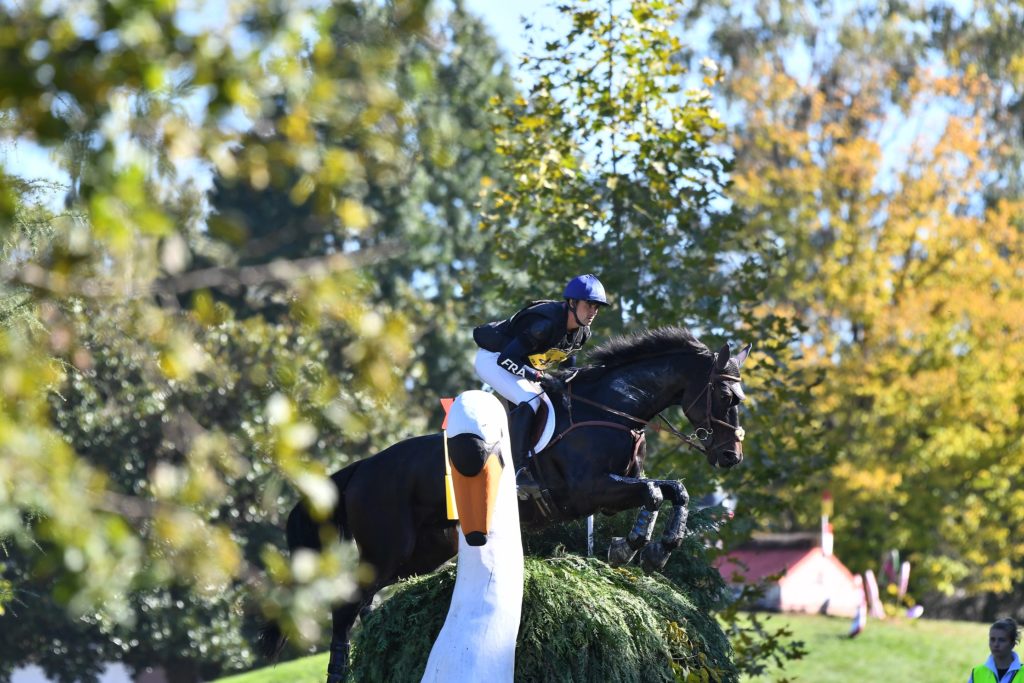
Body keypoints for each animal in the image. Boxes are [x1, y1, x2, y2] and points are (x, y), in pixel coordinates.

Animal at [258, 327, 753, 679]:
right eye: (726, 396)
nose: (730, 456)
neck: (612, 408)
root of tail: (362, 468)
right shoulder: (591, 490)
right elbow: (654, 492)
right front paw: (629, 546)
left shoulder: (613, 491)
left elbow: (674, 490)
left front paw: (656, 549)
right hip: (387, 548)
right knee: (344, 608)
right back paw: (338, 671)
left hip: (424, 551)